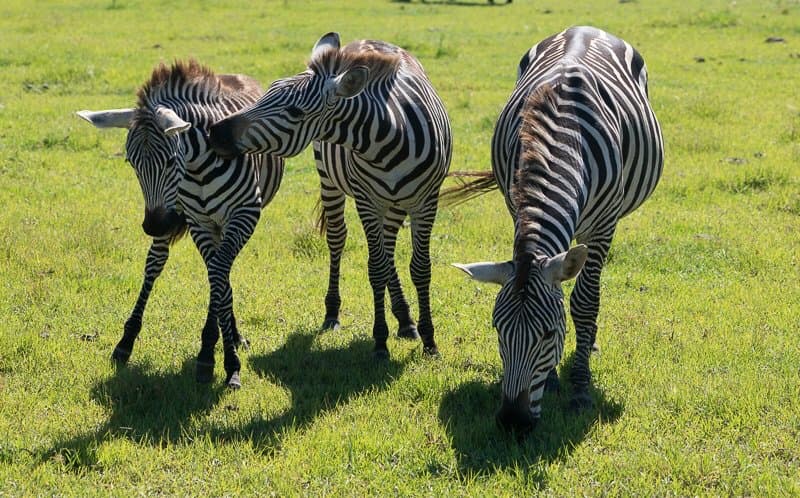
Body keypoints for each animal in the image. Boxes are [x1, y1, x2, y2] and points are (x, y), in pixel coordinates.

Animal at [77, 59, 284, 388]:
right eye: (131, 163)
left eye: (172, 161)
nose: (155, 226)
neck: (199, 167)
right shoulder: (198, 221)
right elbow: (215, 279)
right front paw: (212, 352)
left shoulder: (244, 215)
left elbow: (218, 278)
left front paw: (224, 359)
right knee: (167, 264)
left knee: (222, 271)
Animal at [209, 33, 452, 359]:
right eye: (267, 92)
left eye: (295, 112)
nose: (215, 133)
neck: (389, 138)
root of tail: (368, 39)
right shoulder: (366, 200)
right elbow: (376, 267)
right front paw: (380, 342)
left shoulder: (427, 201)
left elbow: (420, 268)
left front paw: (429, 341)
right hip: (330, 179)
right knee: (340, 239)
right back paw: (334, 314)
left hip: (395, 202)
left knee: (388, 248)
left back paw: (404, 319)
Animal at [451, 26, 664, 434]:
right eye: (497, 330)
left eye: (549, 333)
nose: (512, 423)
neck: (565, 136)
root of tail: (585, 28)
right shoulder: (516, 202)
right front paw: (550, 380)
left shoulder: (603, 224)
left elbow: (585, 302)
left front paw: (580, 386)